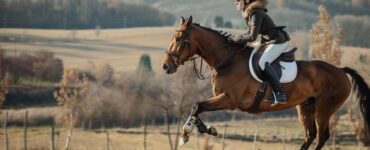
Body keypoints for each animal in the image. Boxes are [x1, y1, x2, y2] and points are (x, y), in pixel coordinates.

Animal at [161, 15, 370, 149]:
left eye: (179, 38)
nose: (165, 66)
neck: (227, 60)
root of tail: (340, 70)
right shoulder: (222, 99)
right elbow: (197, 107)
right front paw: (204, 129)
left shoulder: (229, 100)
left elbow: (197, 105)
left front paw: (186, 133)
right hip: (305, 107)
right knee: (310, 135)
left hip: (324, 109)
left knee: (321, 137)